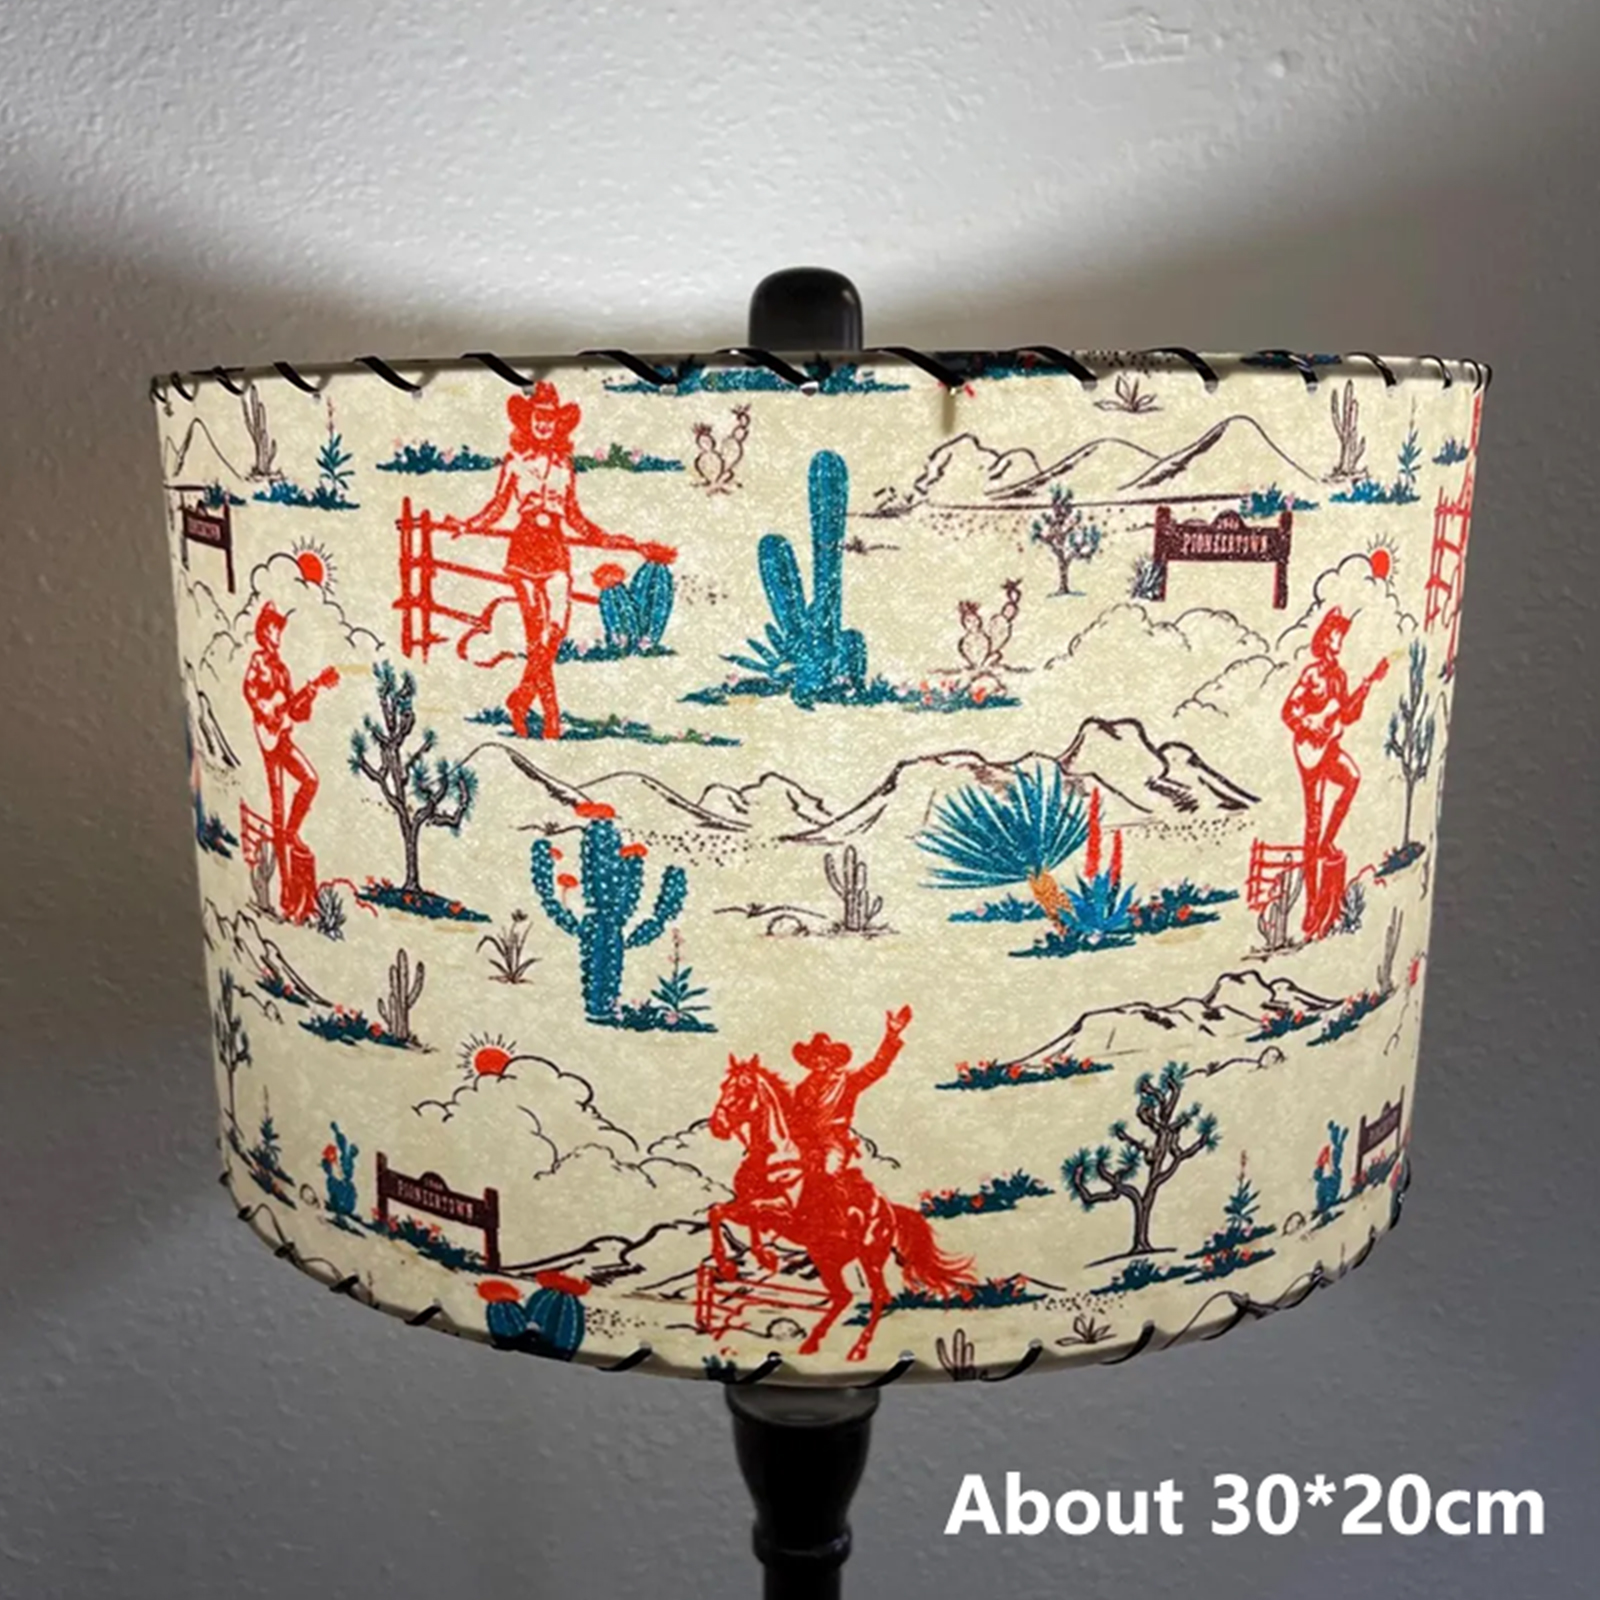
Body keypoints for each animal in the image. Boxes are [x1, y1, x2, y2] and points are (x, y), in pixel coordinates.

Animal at [707, 1052, 973, 1363]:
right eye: (724, 1085)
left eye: (743, 1087)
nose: (717, 1125)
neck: (774, 1157)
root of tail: (890, 1210)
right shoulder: (747, 1205)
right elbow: (720, 1212)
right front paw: (737, 1263)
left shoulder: (782, 1210)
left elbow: (752, 1215)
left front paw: (758, 1258)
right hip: (827, 1257)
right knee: (842, 1296)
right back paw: (812, 1343)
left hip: (869, 1258)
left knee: (878, 1295)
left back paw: (857, 1349)